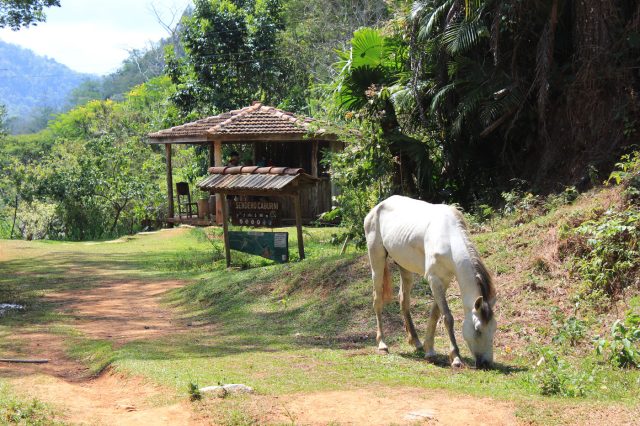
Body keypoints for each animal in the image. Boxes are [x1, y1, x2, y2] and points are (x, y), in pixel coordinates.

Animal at [362, 195, 498, 368]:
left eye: (494, 328)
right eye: (478, 329)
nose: (487, 363)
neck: (448, 237)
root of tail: (377, 208)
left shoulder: (444, 280)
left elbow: (435, 314)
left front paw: (430, 351)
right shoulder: (434, 279)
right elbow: (447, 317)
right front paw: (456, 358)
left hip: (404, 266)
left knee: (403, 301)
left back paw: (416, 342)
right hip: (376, 261)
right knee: (377, 300)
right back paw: (382, 344)